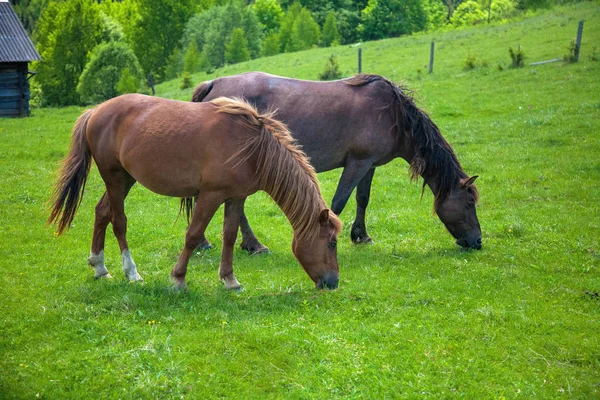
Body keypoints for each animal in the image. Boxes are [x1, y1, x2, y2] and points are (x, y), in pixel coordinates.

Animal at [48, 95, 342, 290]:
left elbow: (229, 236)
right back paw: (131, 273)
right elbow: (193, 234)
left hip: (125, 179)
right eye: (332, 242)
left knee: (101, 213)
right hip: (114, 178)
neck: (252, 148)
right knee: (119, 221)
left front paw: (230, 280)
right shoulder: (210, 195)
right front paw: (178, 279)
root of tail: (96, 110)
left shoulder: (236, 197)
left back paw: (99, 267)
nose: (333, 282)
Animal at [192, 72, 482, 252]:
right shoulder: (356, 163)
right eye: (469, 203)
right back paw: (253, 245)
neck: (393, 115)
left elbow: (362, 199)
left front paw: (361, 235)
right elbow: (339, 201)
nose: (477, 241)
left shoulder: (368, 165)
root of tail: (213, 84)